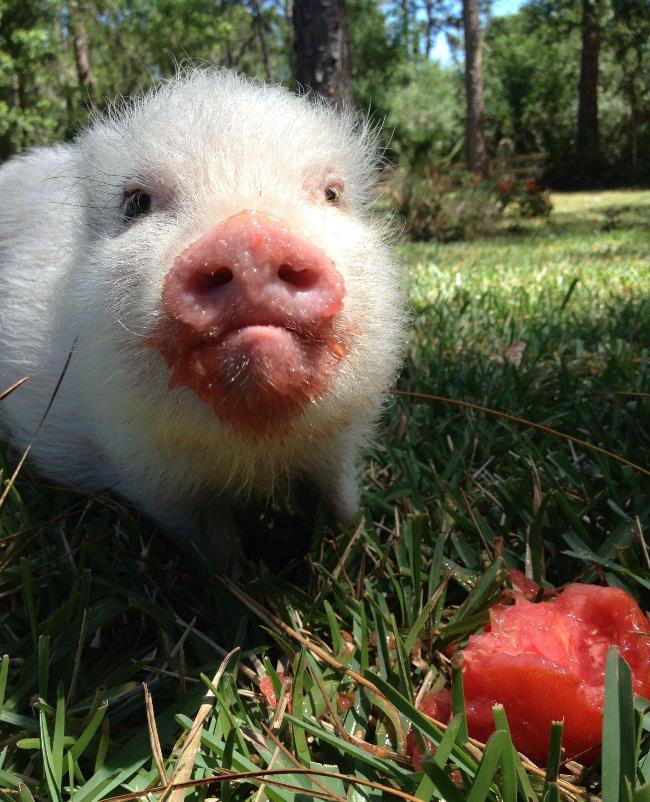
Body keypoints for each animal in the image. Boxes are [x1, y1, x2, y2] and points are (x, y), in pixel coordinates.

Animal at [0, 68, 407, 548]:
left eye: (331, 193)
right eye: (136, 203)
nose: (251, 237)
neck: (255, 450)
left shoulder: (338, 447)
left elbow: (339, 499)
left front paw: (352, 538)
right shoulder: (148, 473)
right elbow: (213, 545)